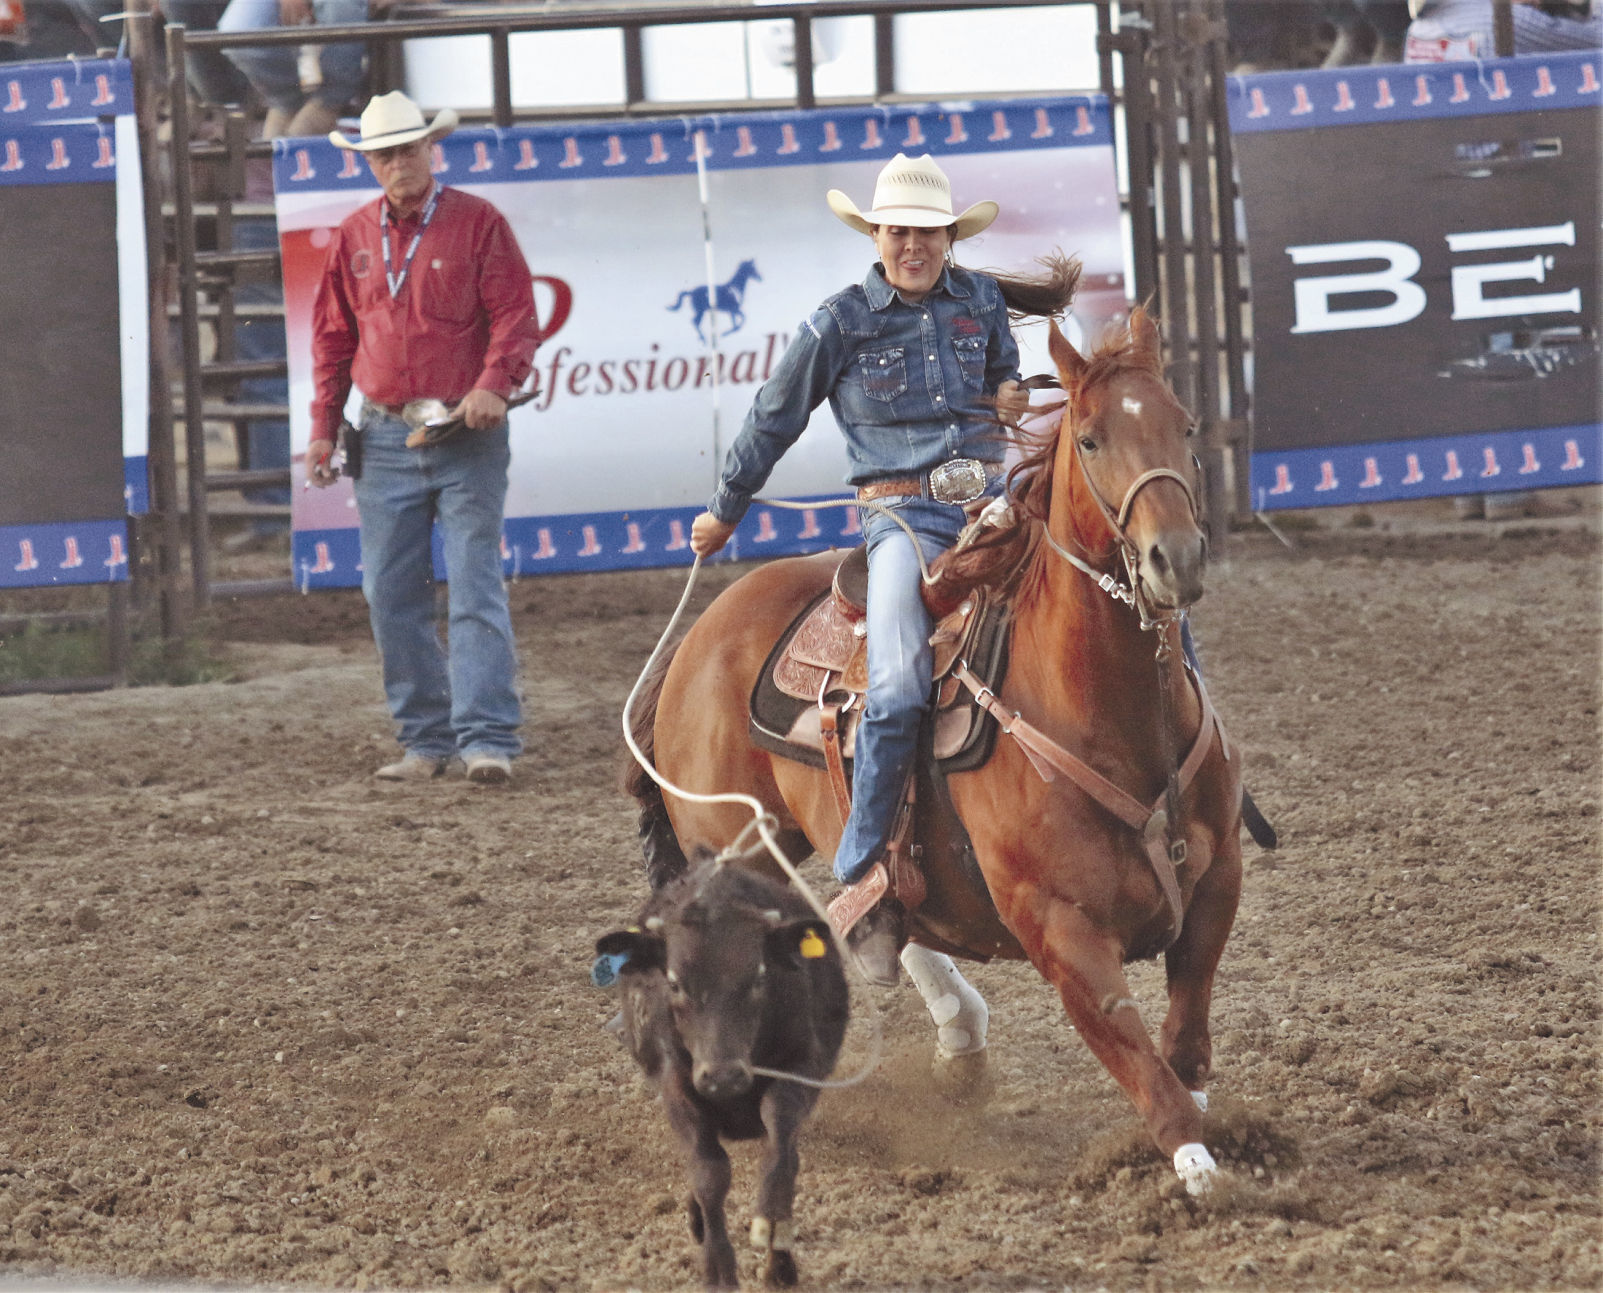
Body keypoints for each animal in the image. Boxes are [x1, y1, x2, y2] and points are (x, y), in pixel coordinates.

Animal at [621, 309, 1237, 1185]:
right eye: (1088, 439)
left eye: (1183, 425)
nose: (1173, 558)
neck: (1107, 716)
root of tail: (702, 627)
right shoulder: (1060, 928)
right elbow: (1135, 1052)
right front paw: (1198, 1167)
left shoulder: (1218, 879)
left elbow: (1184, 1032)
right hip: (735, 842)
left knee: (883, 902)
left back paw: (954, 1026)